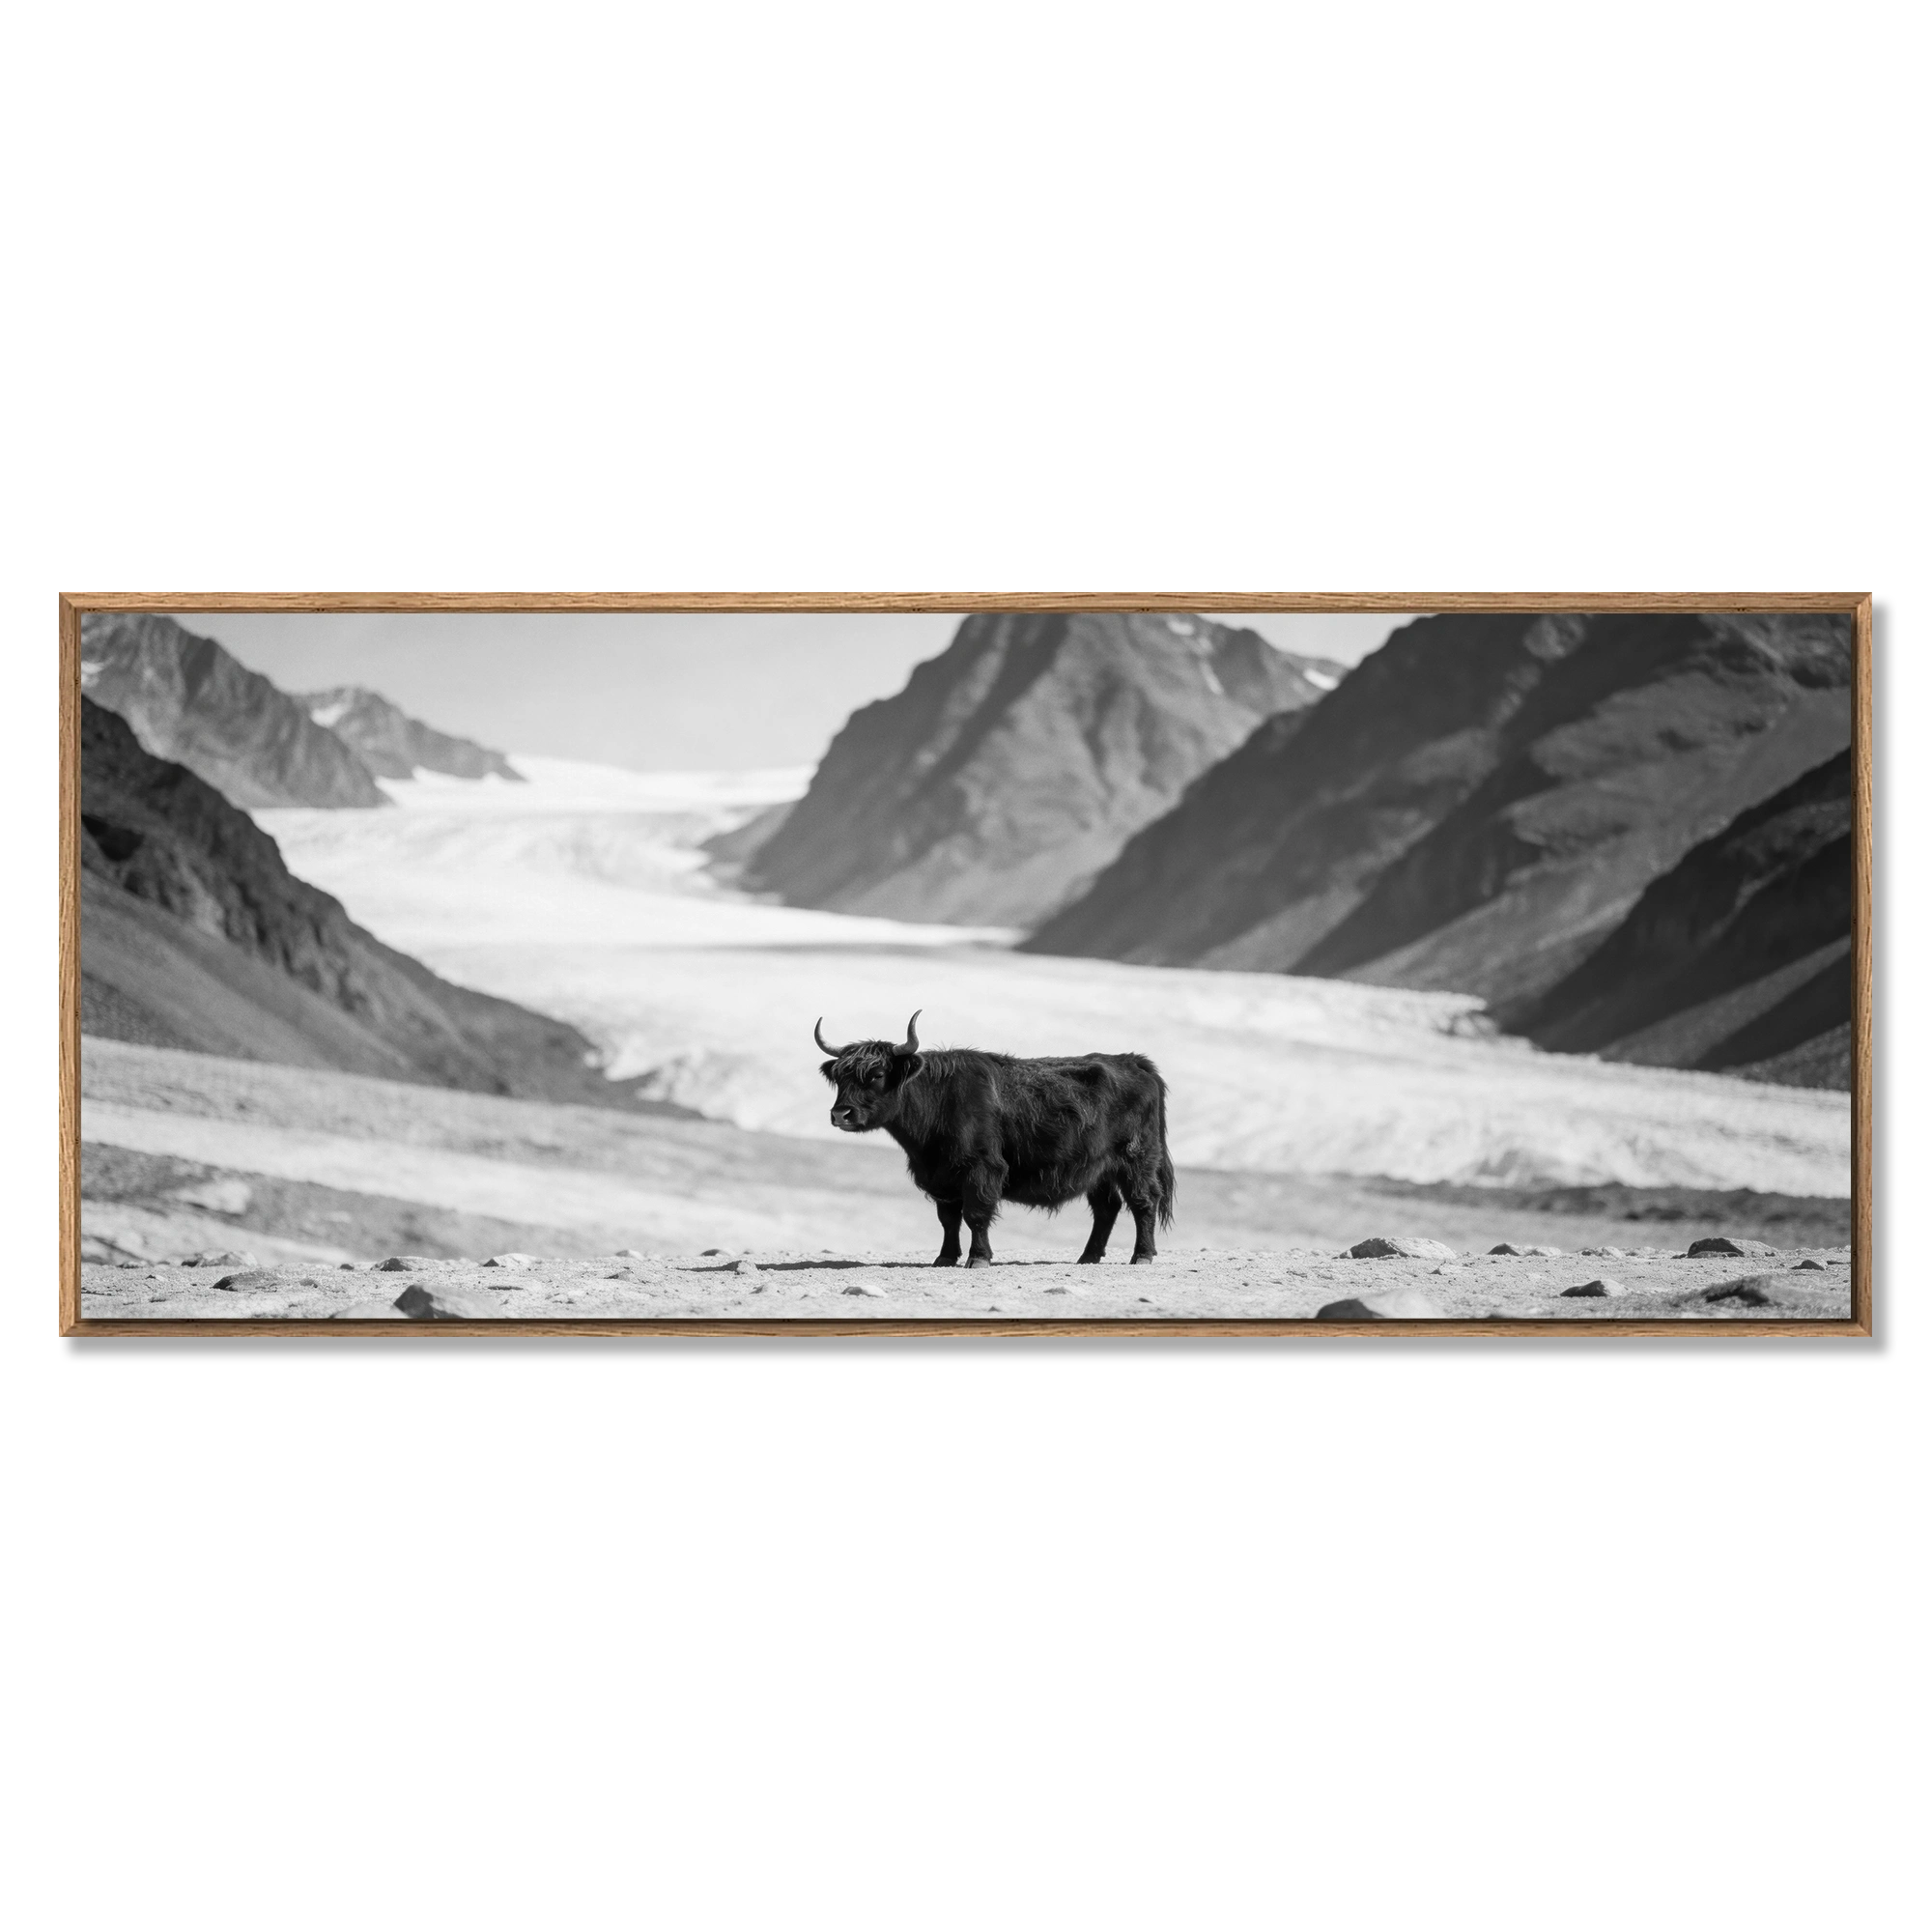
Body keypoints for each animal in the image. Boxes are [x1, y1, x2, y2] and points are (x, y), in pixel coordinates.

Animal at [814, 1010, 1174, 1268]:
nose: (841, 1114)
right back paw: (1088, 1257)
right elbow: (948, 1219)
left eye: (876, 1074)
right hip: (1098, 1168)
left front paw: (978, 1258)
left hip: (1136, 1159)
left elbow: (976, 1214)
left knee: (1144, 1201)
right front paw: (944, 1258)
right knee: (1107, 1208)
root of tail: (1134, 1061)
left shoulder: (981, 1168)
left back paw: (1142, 1255)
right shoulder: (942, 1176)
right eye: (840, 1077)